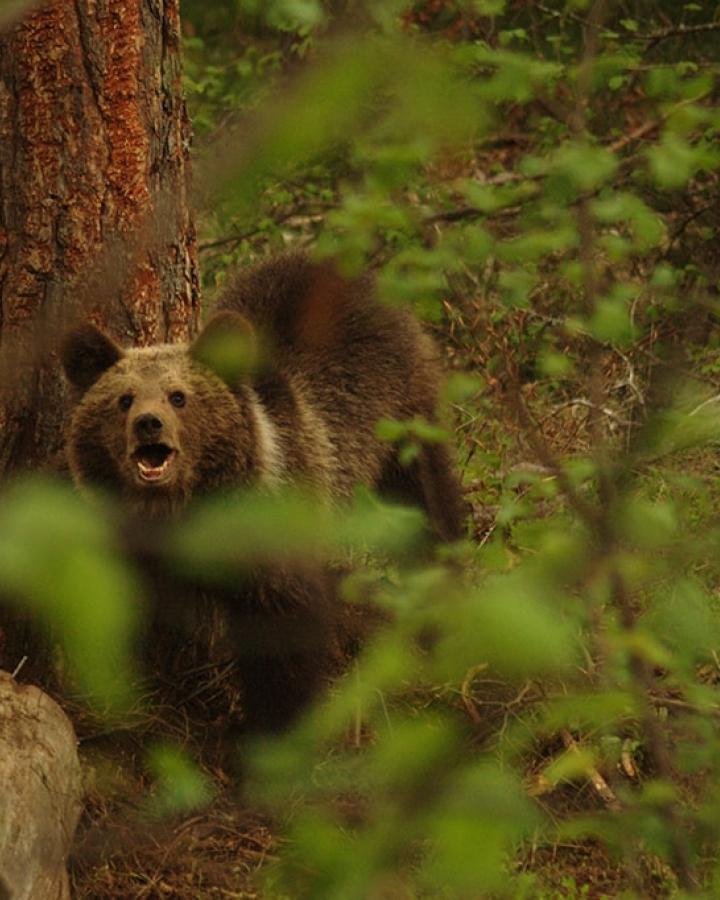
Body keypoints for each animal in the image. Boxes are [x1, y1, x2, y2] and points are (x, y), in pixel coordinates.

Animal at [63, 251, 466, 732]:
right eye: (123, 399)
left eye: (178, 396)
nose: (148, 424)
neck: (187, 508)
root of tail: (340, 266)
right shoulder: (141, 550)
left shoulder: (273, 536)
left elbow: (283, 636)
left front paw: (276, 728)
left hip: (401, 418)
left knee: (427, 506)